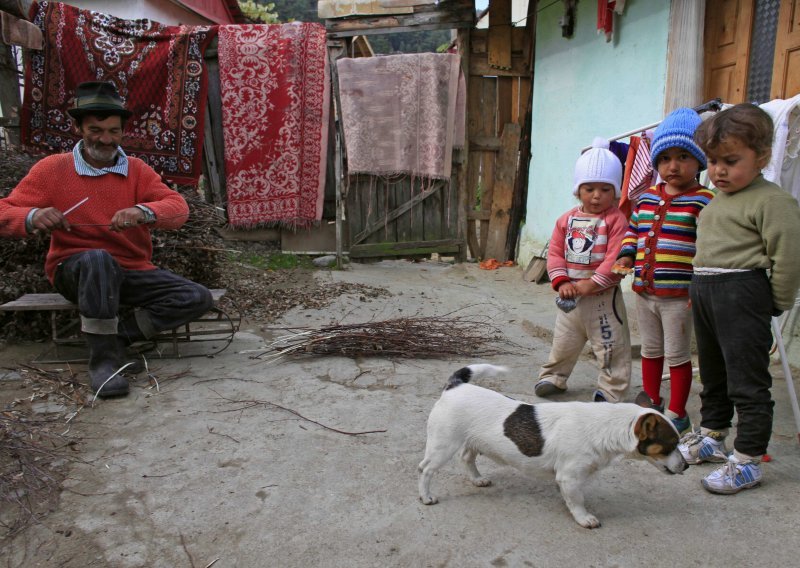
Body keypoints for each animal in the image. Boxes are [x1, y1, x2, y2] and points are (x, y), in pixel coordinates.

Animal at [418, 364, 688, 528]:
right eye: (671, 445)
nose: (686, 466)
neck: (605, 427)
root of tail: (455, 386)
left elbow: (571, 495)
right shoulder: (569, 476)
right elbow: (577, 499)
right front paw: (584, 517)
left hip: (473, 441)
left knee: (466, 457)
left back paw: (477, 479)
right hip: (442, 446)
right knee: (425, 469)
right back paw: (426, 496)